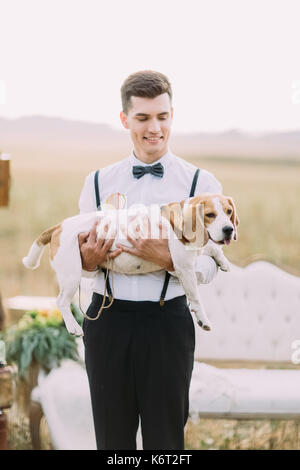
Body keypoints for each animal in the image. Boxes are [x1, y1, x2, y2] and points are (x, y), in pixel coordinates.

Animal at [22, 193, 239, 336]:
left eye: (229, 212)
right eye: (210, 215)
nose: (228, 229)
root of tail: (59, 226)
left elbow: (212, 248)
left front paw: (223, 260)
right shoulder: (183, 267)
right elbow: (196, 298)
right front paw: (203, 318)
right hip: (72, 274)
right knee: (61, 302)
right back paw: (73, 326)